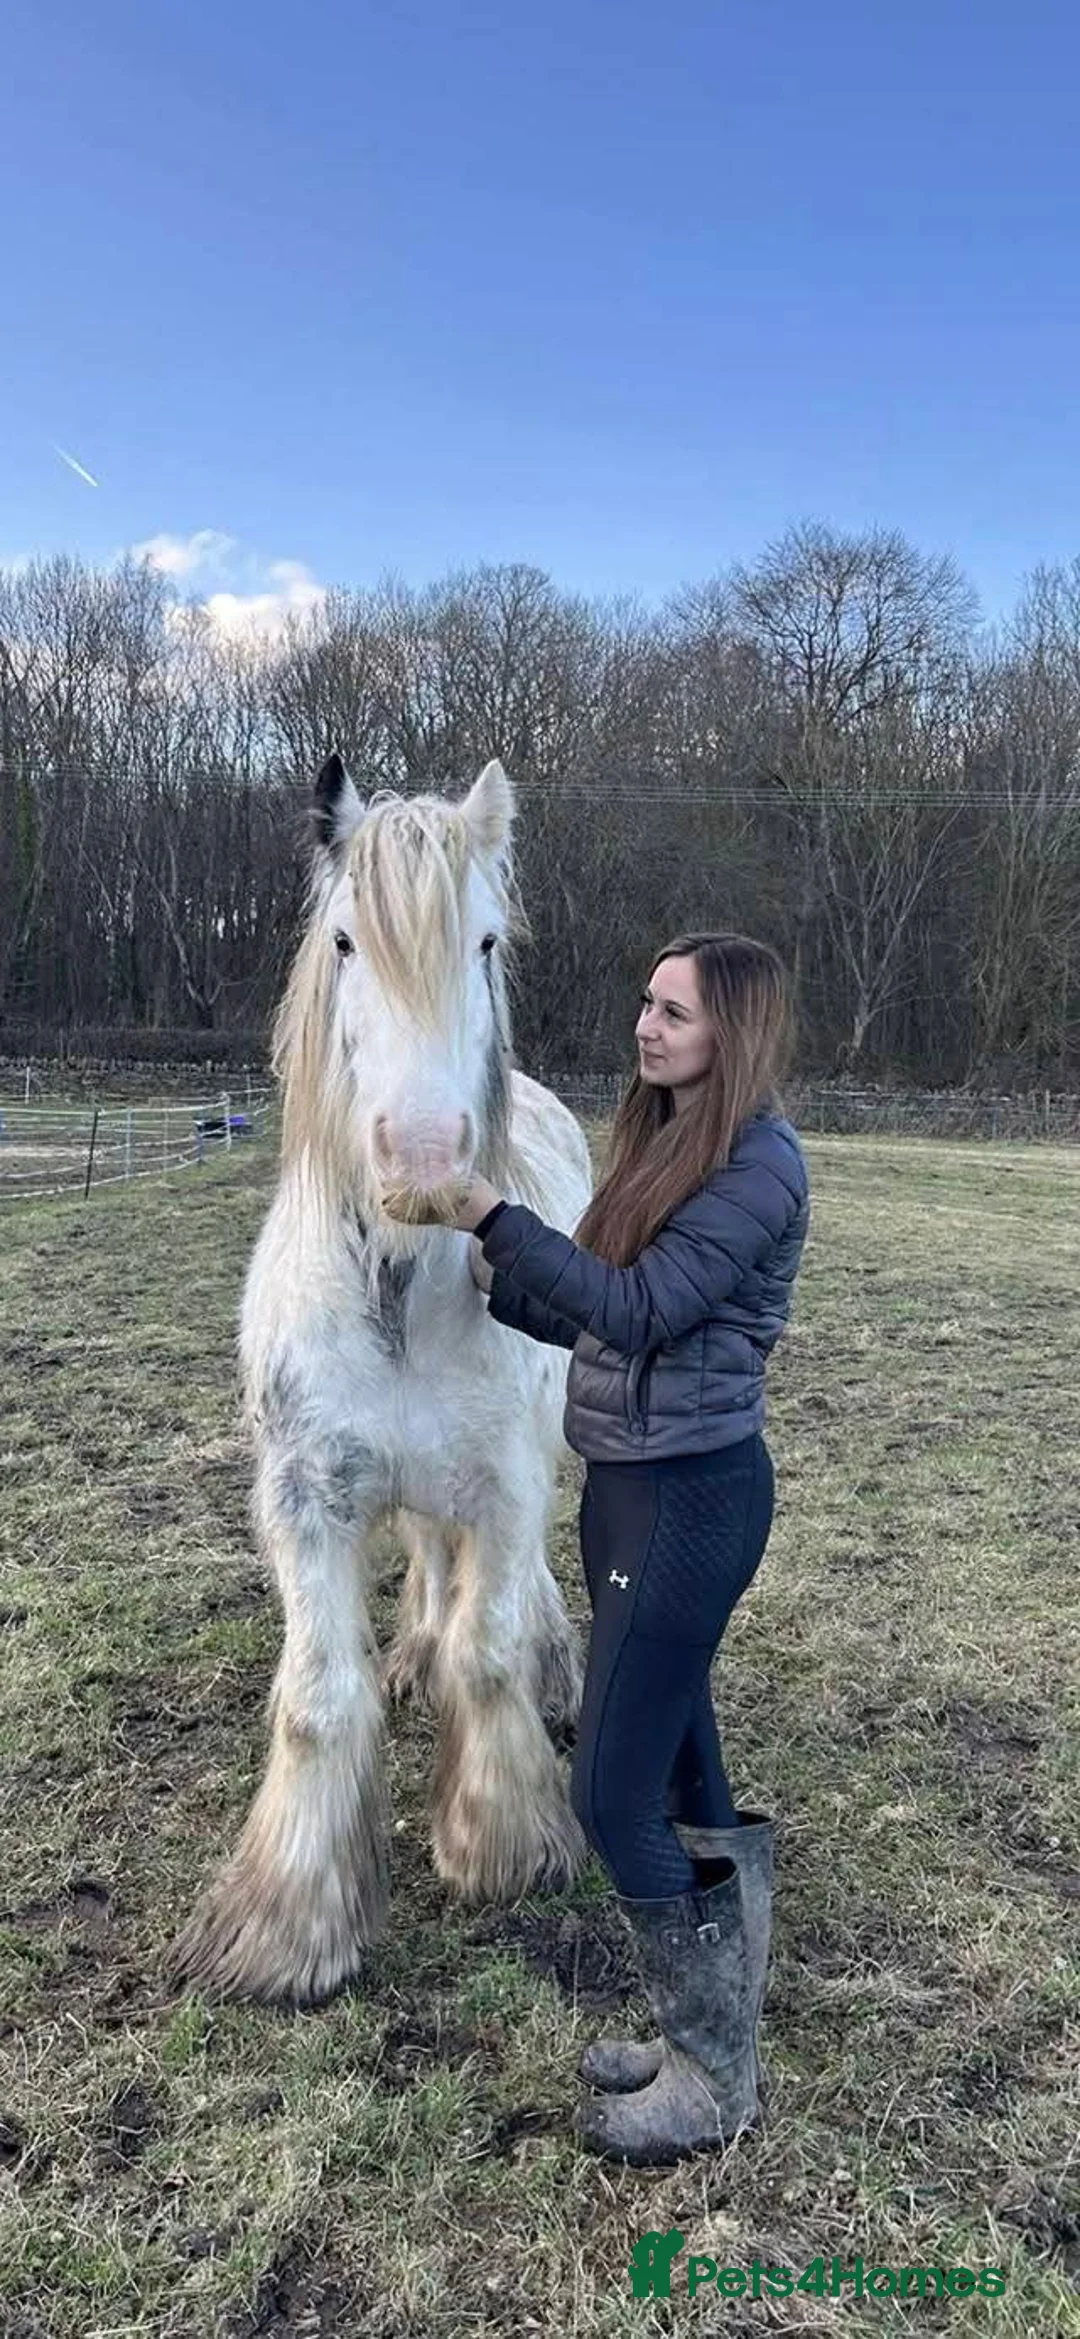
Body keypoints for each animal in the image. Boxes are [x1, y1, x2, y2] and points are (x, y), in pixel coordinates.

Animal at [169, 753, 593, 2005]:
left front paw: (501, 1844)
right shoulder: (307, 1498)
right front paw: (288, 1925)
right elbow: (320, 1694)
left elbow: (488, 1652)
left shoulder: (503, 1484)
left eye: (487, 940)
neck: (398, 1284)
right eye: (347, 940)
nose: (424, 1160)